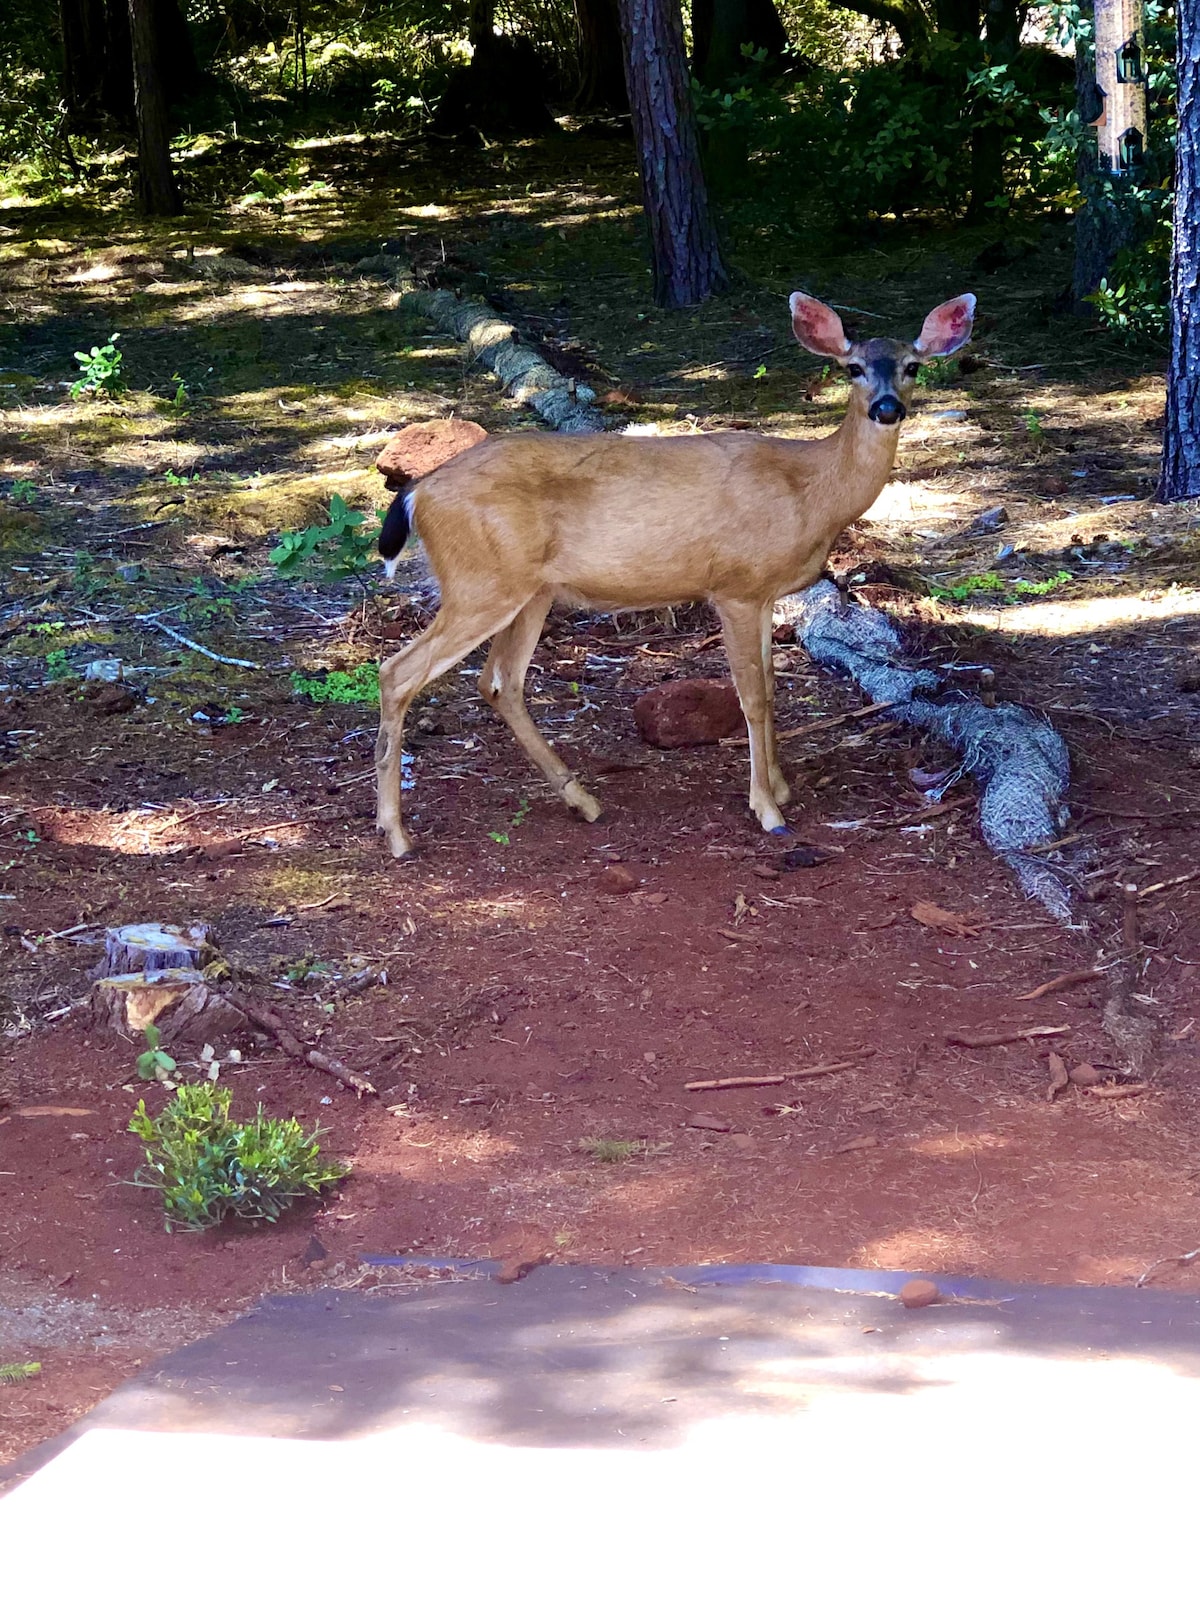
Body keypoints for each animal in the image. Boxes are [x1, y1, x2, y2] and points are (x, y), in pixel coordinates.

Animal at [376, 292, 979, 857]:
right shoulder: (735, 587)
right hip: (479, 581)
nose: (886, 408)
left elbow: (772, 686)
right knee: (397, 672)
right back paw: (397, 834)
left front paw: (781, 787)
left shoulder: (764, 594)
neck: (811, 492)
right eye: (852, 367)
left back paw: (582, 800)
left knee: (499, 680)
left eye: (912, 366)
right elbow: (752, 696)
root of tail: (417, 493)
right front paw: (768, 810)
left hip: (528, 591)